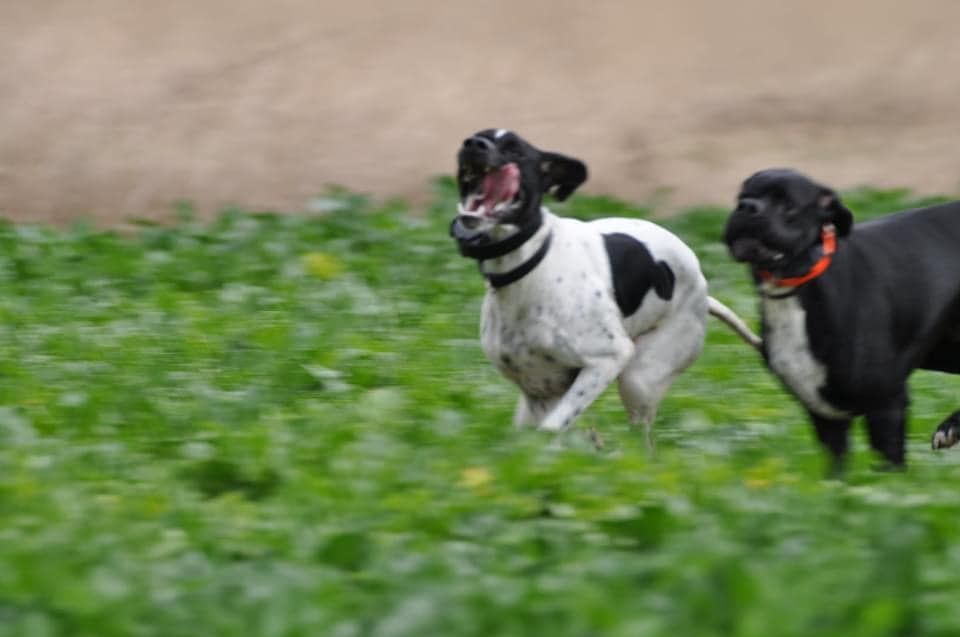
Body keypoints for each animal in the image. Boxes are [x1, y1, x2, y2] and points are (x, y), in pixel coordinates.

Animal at [724, 169, 960, 472]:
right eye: (741, 197)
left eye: (787, 204)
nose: (747, 206)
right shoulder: (827, 418)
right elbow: (837, 472)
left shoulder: (887, 404)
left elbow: (888, 468)